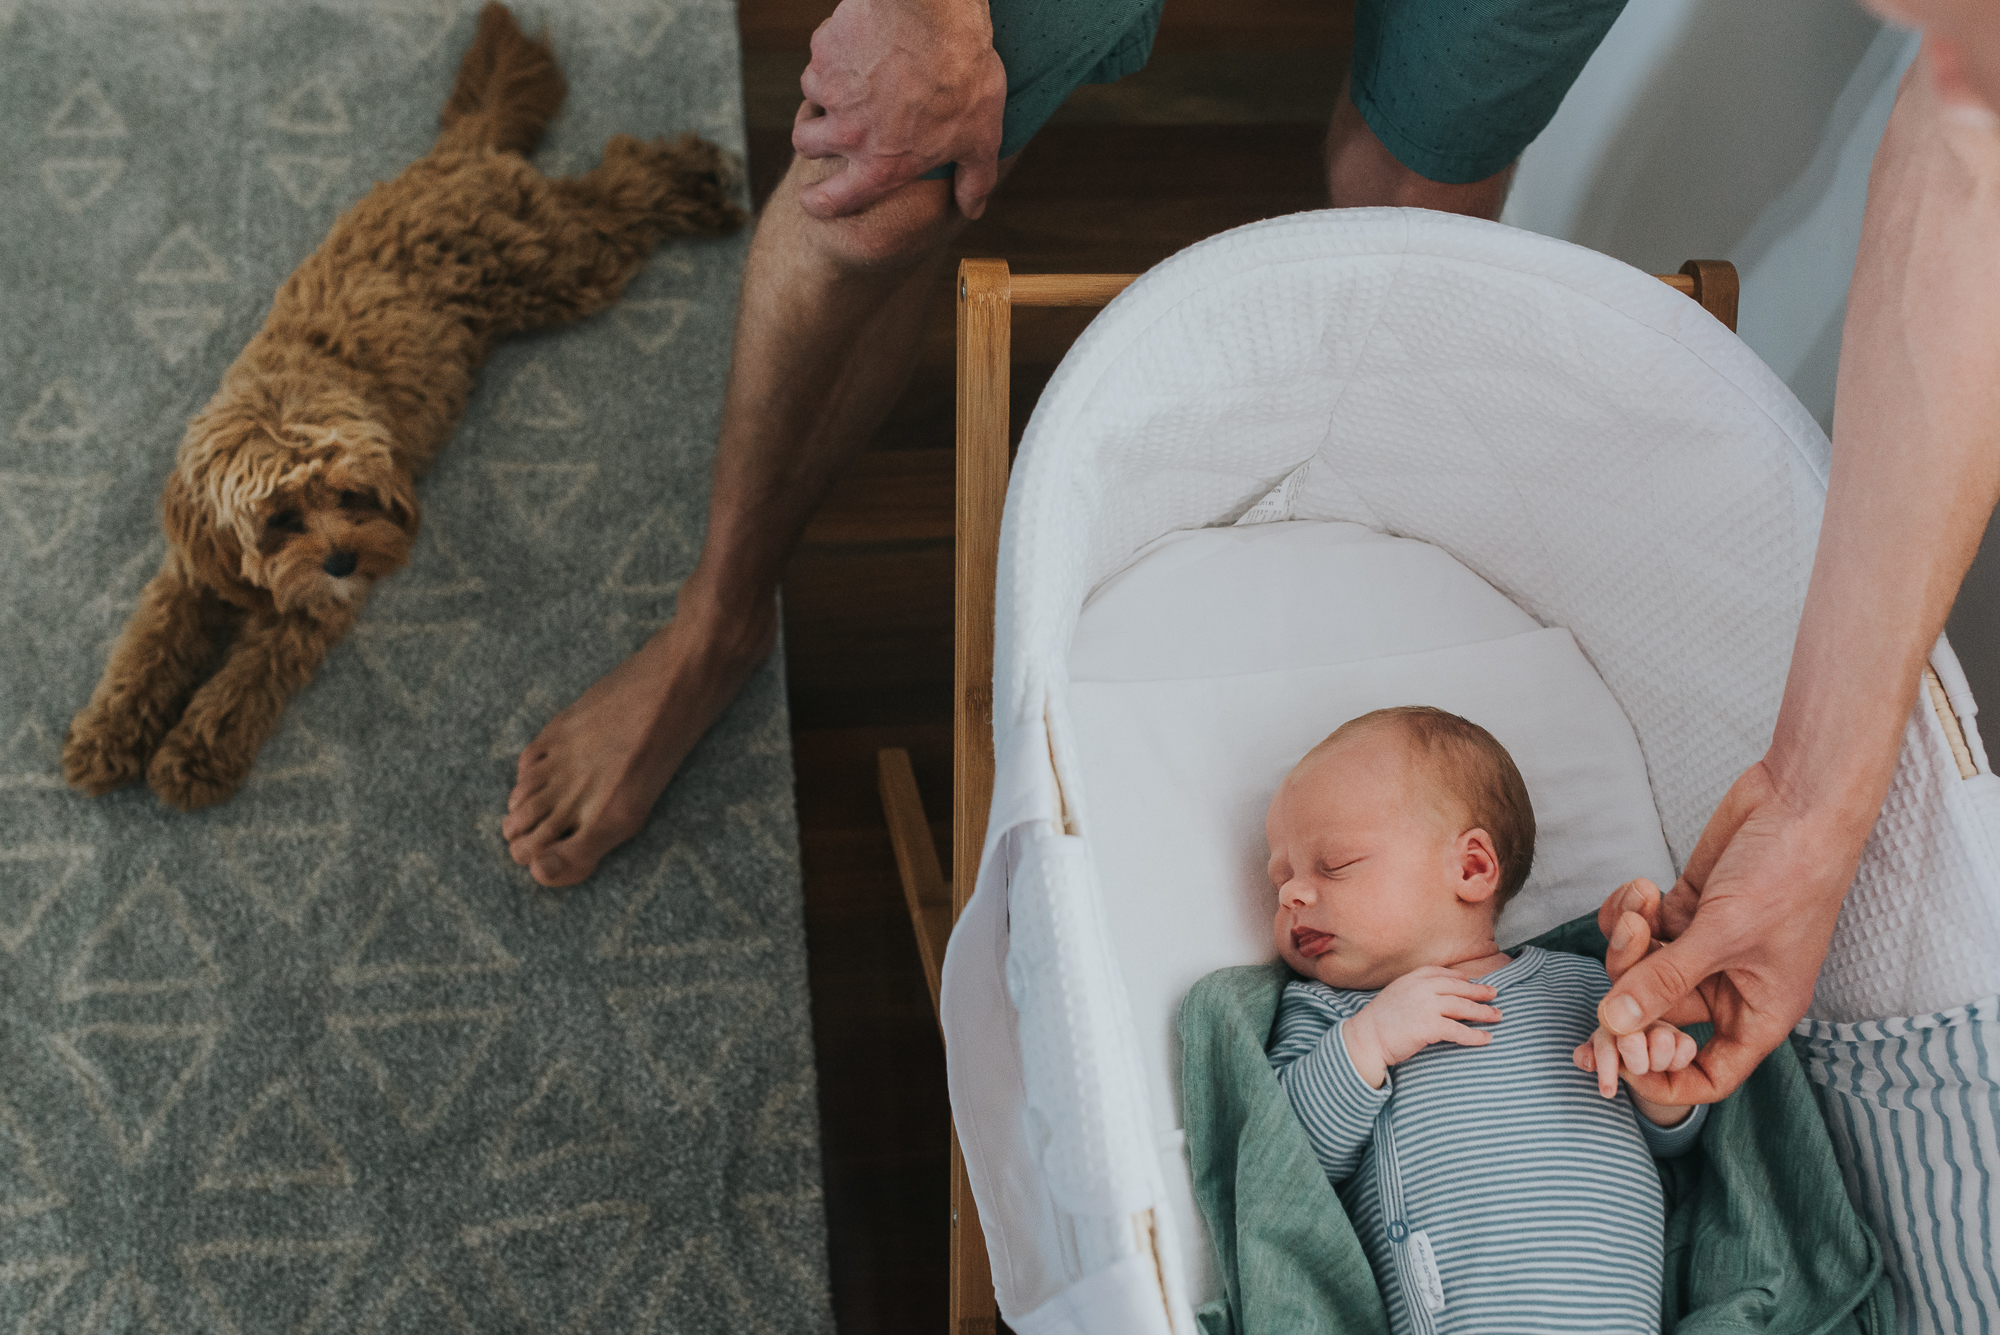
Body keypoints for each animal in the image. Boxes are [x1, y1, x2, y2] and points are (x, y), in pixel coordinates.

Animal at [68, 2, 752, 815]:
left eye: (351, 495)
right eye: (279, 518)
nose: (343, 559)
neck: (287, 387)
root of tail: (457, 155)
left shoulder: (315, 609)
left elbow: (248, 678)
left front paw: (195, 754)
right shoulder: (191, 574)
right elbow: (144, 653)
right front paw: (109, 736)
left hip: (567, 264)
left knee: (625, 183)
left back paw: (696, 172)